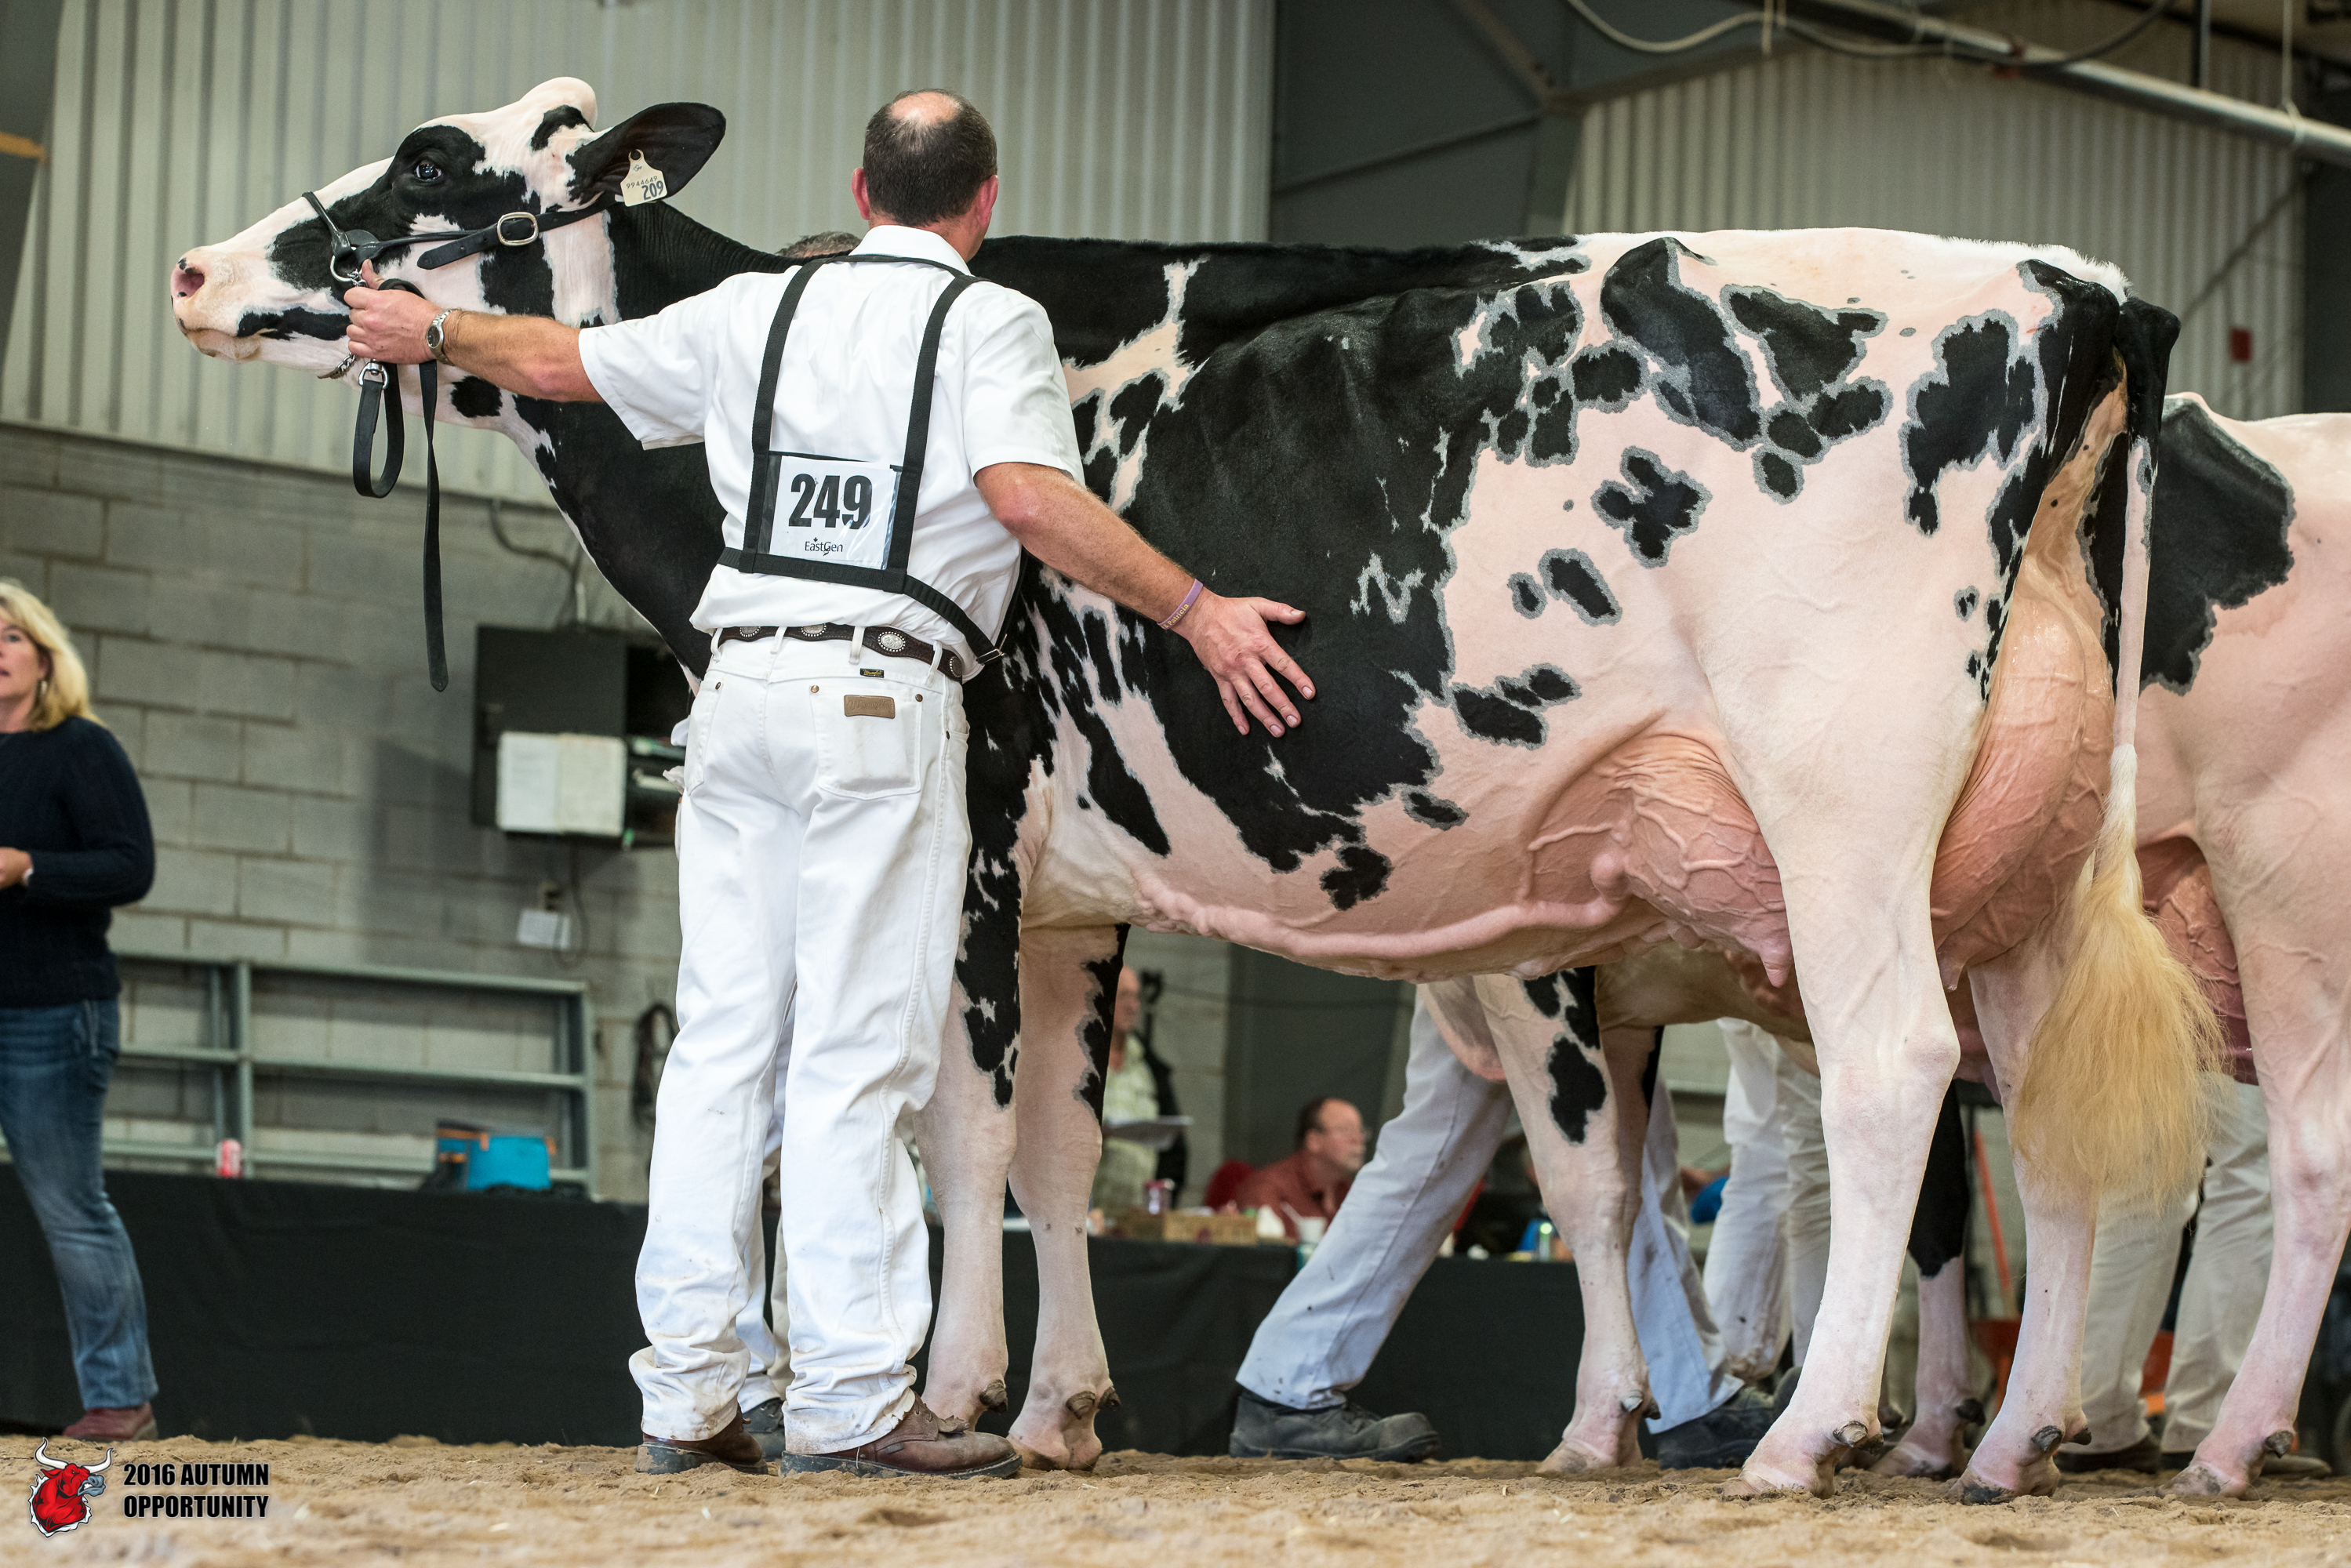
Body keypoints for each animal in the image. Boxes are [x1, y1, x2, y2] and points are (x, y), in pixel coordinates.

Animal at [170, 79, 2210, 1500]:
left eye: (430, 161)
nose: (194, 268)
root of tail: (2068, 284)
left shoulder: (976, 841)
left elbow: (955, 1133)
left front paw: (950, 1398)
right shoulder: (1083, 893)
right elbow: (1065, 1150)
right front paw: (1067, 1404)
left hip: (1844, 800)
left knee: (1890, 1078)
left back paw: (1809, 1436)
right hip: (2028, 864)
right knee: (2053, 1122)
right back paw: (2008, 1441)